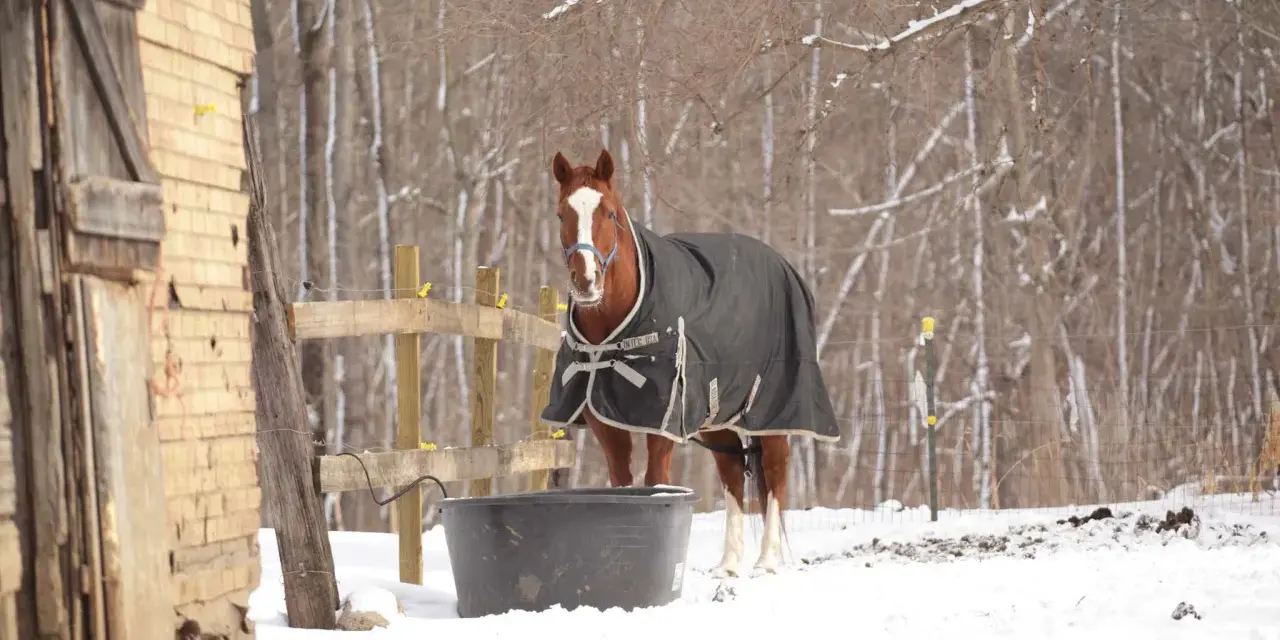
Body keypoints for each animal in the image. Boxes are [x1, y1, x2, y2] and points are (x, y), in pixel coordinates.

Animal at [540, 148, 840, 577]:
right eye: (561, 214)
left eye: (609, 213)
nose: (586, 281)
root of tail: (784, 267)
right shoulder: (607, 423)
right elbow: (622, 485)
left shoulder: (663, 425)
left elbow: (655, 483)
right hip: (719, 419)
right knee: (732, 475)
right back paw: (728, 564)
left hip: (773, 414)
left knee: (777, 473)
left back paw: (766, 561)